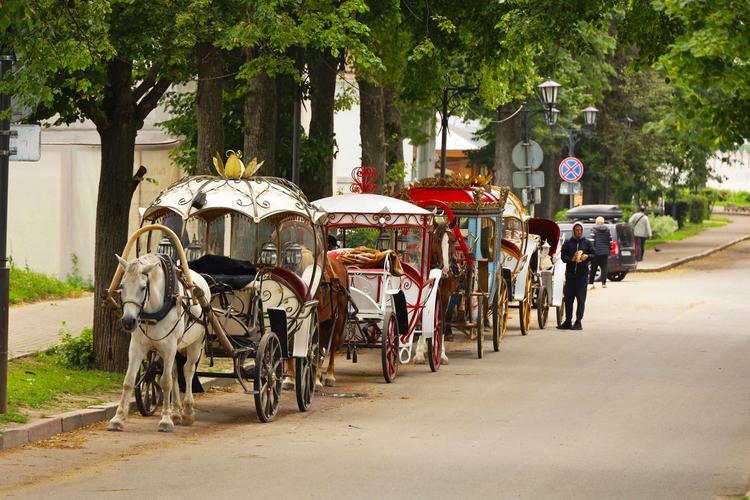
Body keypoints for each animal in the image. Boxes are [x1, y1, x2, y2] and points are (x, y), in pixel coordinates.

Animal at [108, 254, 212, 434]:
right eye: (121, 286)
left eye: (143, 287)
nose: (128, 321)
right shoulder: (137, 347)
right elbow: (129, 381)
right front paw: (118, 418)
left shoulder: (169, 347)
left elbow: (165, 382)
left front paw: (165, 420)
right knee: (175, 373)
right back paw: (176, 412)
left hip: (195, 344)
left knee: (188, 370)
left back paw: (188, 411)